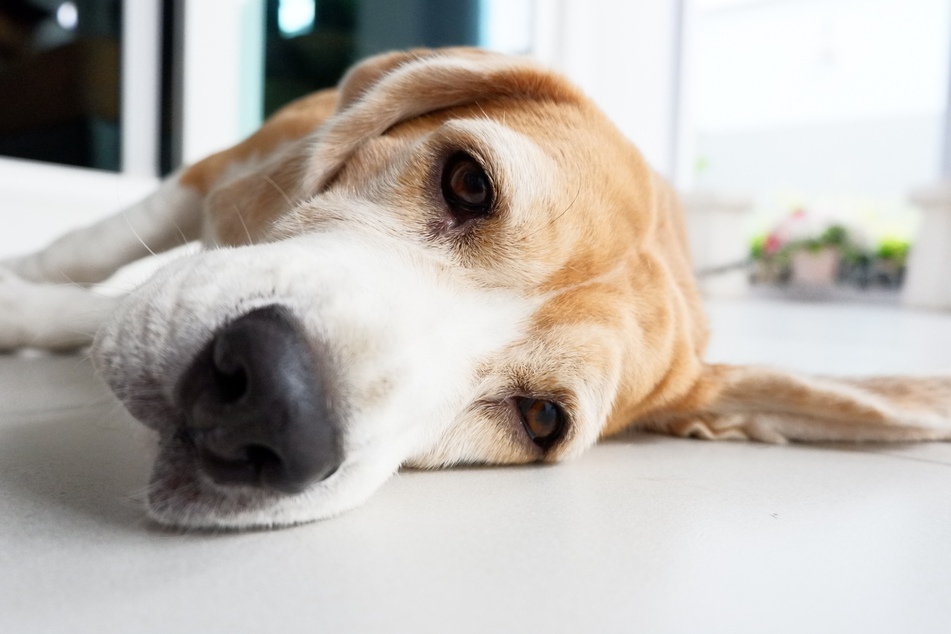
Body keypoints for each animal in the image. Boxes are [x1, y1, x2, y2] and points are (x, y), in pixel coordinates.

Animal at [0, 47, 948, 524]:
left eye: (541, 419)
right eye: (466, 182)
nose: (273, 403)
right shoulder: (219, 170)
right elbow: (86, 250)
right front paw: (24, 289)